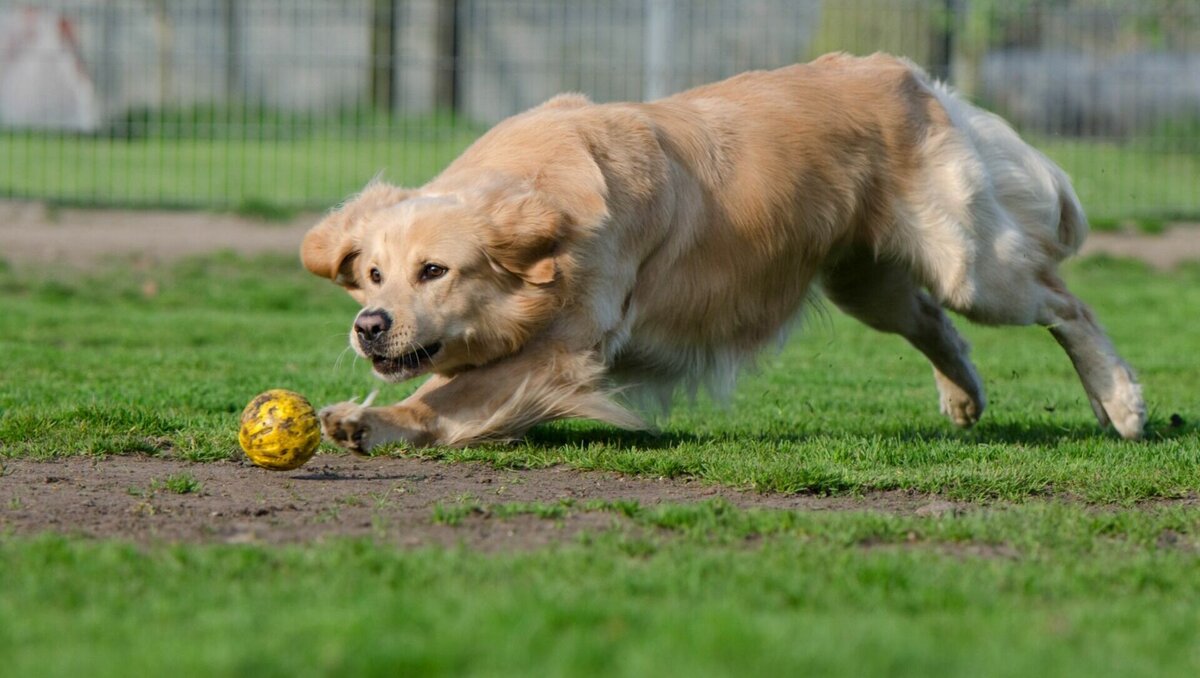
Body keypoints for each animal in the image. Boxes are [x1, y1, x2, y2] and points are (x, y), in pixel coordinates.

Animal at [300, 51, 1142, 448]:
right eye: (372, 274)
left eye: (434, 271)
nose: (369, 325)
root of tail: (908, 74)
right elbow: (449, 390)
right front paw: (365, 419)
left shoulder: (563, 352)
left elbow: (448, 394)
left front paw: (374, 420)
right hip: (866, 282)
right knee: (938, 324)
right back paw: (964, 397)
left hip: (971, 263)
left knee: (1063, 302)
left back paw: (1122, 401)